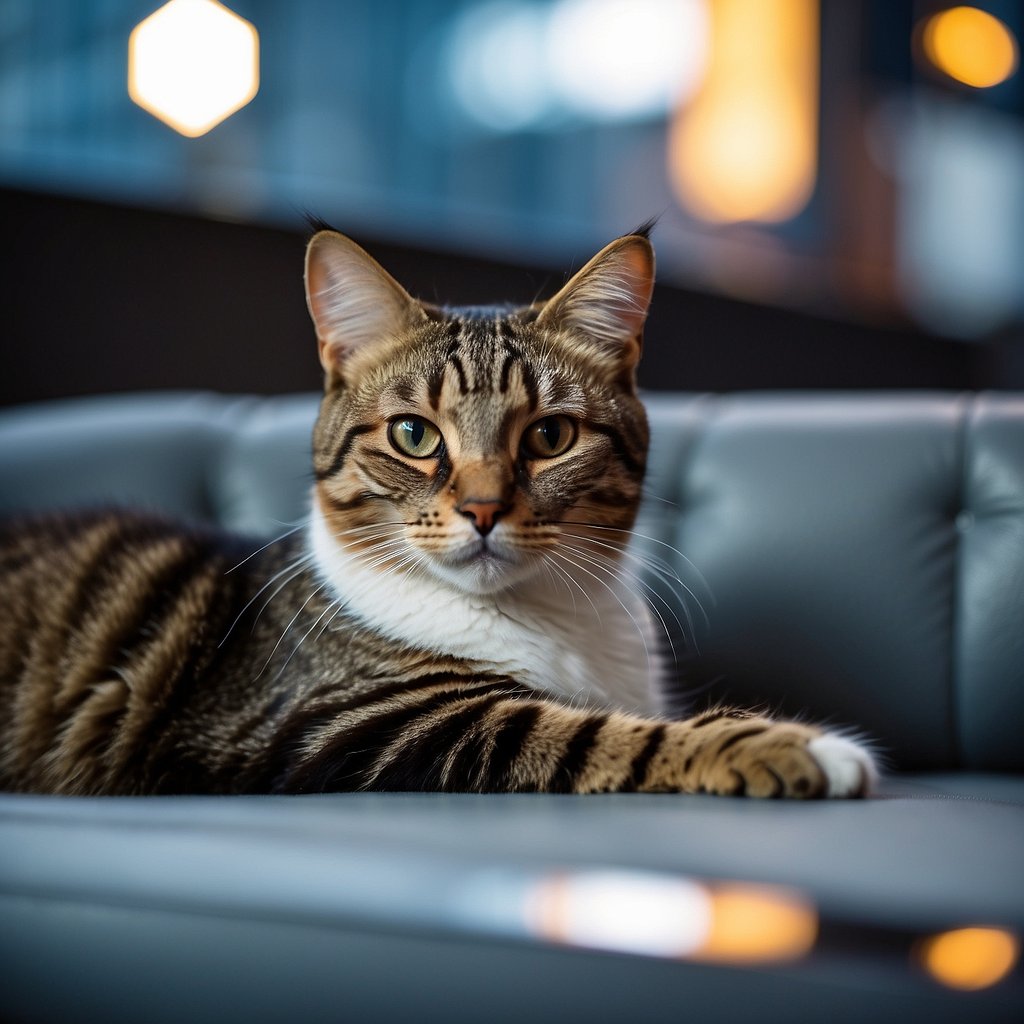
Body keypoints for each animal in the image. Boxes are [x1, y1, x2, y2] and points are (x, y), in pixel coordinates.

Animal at [0, 226, 880, 798]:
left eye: (551, 436)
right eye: (414, 435)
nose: (484, 507)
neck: (548, 620)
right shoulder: (348, 723)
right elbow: (585, 730)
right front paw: (796, 745)